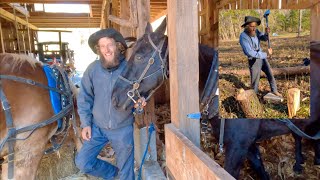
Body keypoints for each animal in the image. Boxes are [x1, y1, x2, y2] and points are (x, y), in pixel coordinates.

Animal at [110, 19, 320, 179]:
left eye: (139, 57)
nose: (114, 98)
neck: (214, 92)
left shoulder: (238, 146)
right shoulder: (247, 145)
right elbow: (260, 169)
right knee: (300, 135)